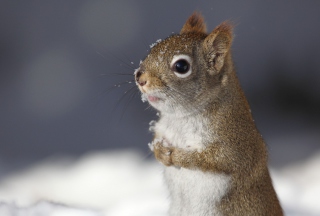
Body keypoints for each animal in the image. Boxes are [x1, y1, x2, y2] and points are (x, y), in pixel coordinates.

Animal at [134, 12, 282, 216]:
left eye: (181, 66)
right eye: (153, 48)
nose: (139, 77)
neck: (181, 118)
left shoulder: (234, 144)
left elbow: (214, 159)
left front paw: (179, 156)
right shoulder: (163, 127)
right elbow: (157, 138)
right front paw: (160, 151)